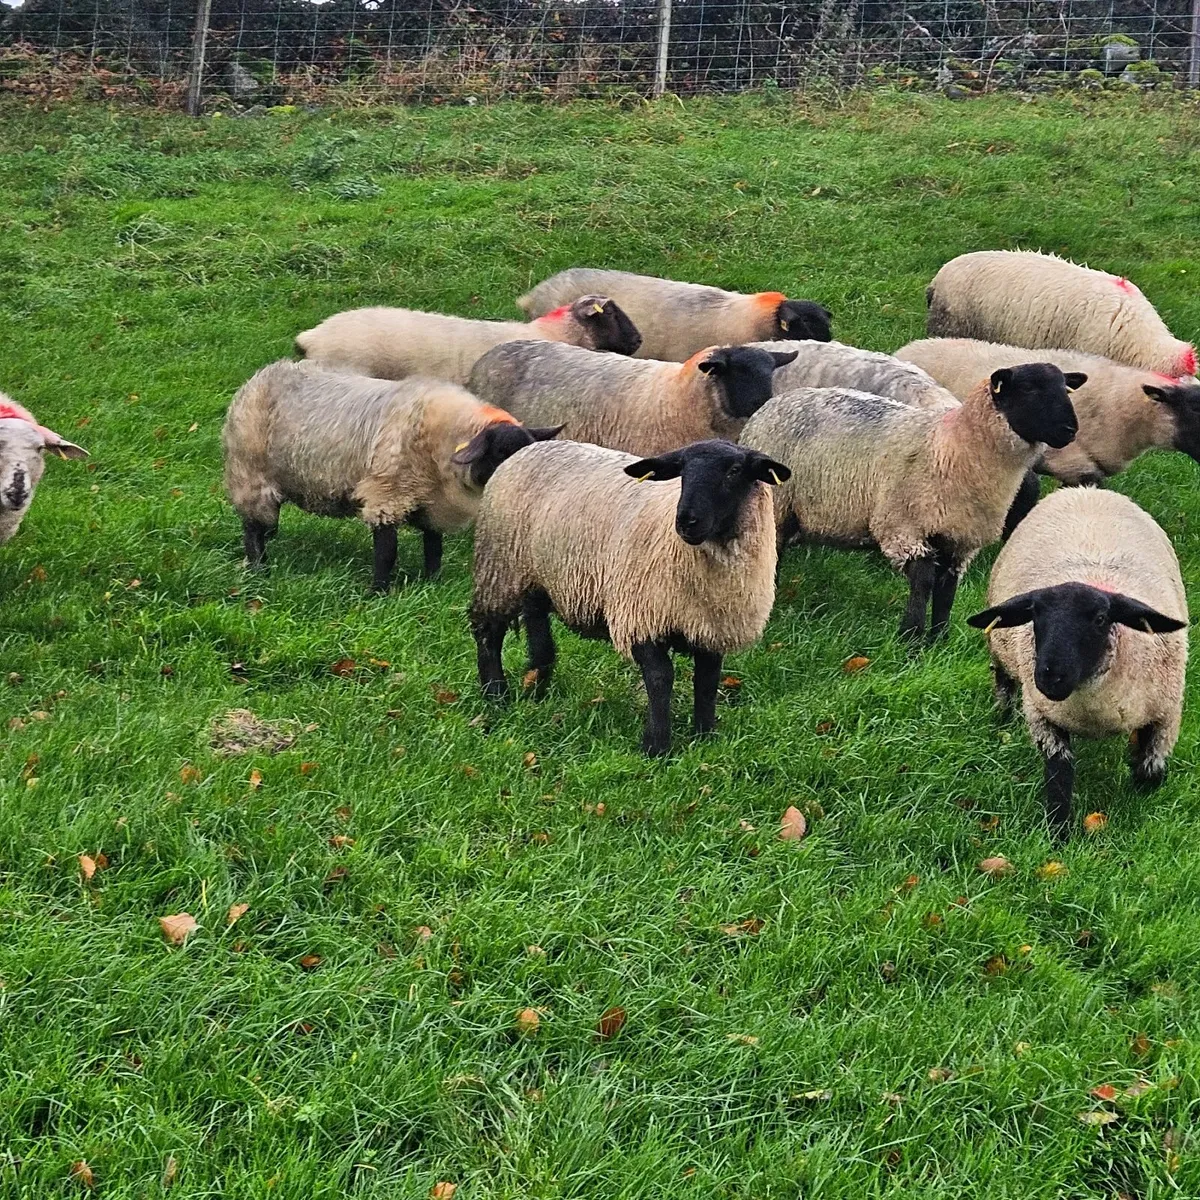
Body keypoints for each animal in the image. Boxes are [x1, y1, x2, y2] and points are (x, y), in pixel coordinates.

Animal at [222, 360, 562, 591]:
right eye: (500, 453)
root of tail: (261, 376)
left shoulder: (432, 502)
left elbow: (433, 546)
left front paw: (432, 582)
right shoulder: (386, 494)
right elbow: (387, 550)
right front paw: (379, 592)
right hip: (249, 475)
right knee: (252, 529)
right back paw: (258, 569)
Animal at [470, 438, 791, 756]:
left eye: (734, 470)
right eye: (682, 469)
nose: (686, 521)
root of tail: (529, 448)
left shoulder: (710, 627)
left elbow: (708, 680)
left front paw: (705, 737)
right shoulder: (639, 615)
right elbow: (661, 677)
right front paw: (657, 746)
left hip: (536, 575)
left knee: (536, 623)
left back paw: (537, 685)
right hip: (499, 568)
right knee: (488, 631)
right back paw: (495, 694)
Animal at [738, 363, 1082, 641]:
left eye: (1065, 388)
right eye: (1030, 389)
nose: (1070, 430)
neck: (953, 447)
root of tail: (771, 404)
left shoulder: (959, 539)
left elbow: (946, 588)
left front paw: (939, 637)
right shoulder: (904, 526)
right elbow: (923, 580)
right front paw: (911, 637)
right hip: (777, 505)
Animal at [967, 487, 1188, 836]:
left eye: (1100, 618)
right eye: (1034, 615)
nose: (1050, 676)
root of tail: (1085, 490)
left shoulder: (1166, 714)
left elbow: (1150, 770)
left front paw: (1142, 804)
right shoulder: (1044, 718)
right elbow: (1059, 778)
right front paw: (1058, 833)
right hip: (1001, 657)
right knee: (1004, 684)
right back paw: (1002, 719)